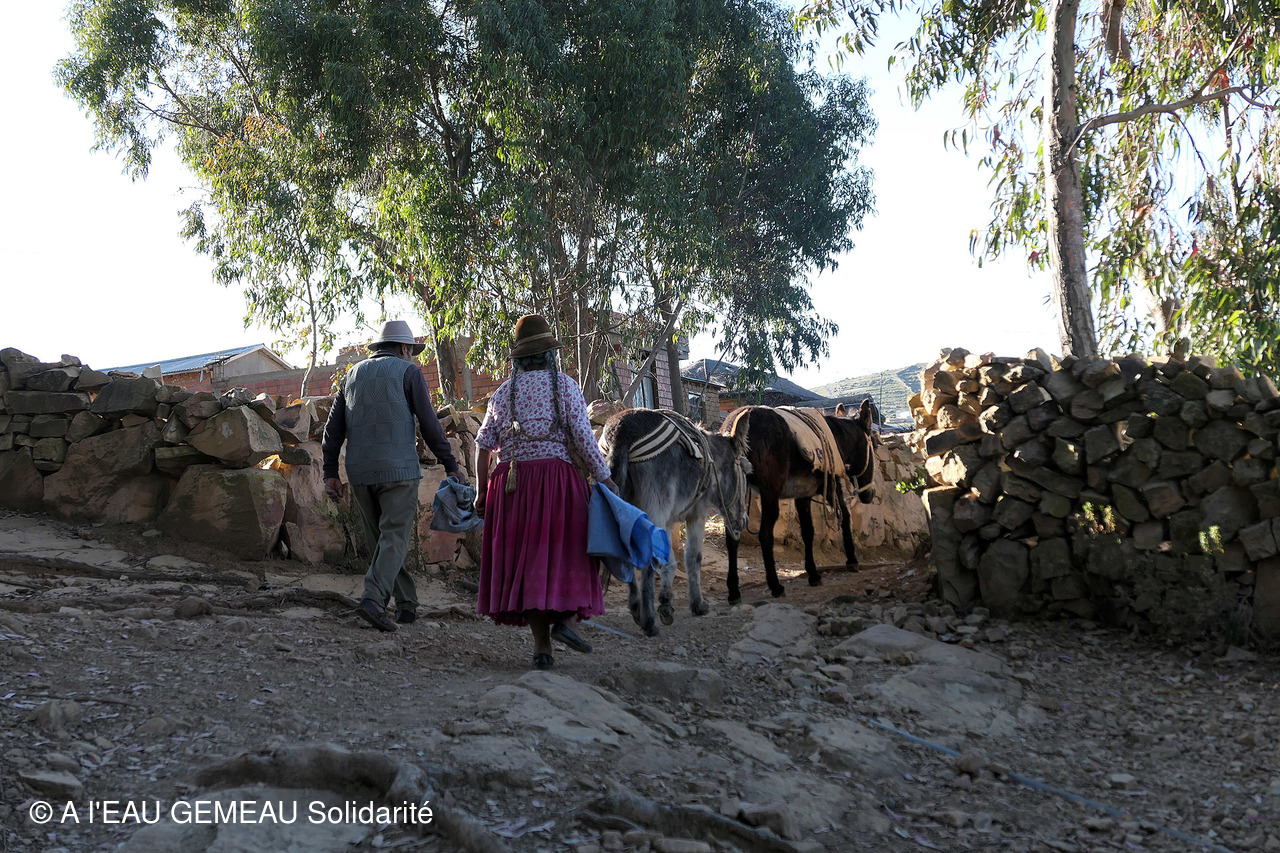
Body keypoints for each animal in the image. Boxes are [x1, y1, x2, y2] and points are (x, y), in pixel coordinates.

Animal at [599, 408, 752, 636]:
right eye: (744, 472)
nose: (743, 521)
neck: (712, 462)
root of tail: (621, 434)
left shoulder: (669, 520)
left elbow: (669, 561)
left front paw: (666, 602)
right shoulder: (696, 515)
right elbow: (693, 557)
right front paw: (697, 605)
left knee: (626, 556)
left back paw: (636, 610)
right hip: (653, 513)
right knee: (646, 562)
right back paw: (649, 623)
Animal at [720, 399, 877, 602]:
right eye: (874, 445)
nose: (869, 494)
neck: (835, 439)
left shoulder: (803, 496)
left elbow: (808, 531)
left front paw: (813, 574)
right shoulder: (831, 487)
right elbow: (845, 516)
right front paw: (852, 560)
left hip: (735, 494)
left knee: (732, 536)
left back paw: (733, 591)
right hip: (770, 492)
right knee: (765, 535)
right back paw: (775, 586)